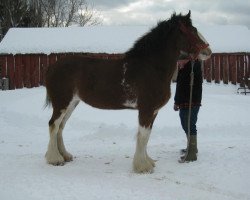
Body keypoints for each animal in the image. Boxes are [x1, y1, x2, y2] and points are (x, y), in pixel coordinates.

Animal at [44, 11, 211, 173]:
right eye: (190, 31)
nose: (208, 51)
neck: (151, 67)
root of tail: (52, 68)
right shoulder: (146, 110)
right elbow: (143, 136)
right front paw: (142, 166)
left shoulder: (153, 111)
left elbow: (147, 136)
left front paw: (148, 162)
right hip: (62, 103)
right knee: (53, 124)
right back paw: (55, 159)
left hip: (72, 103)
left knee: (60, 127)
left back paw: (65, 156)